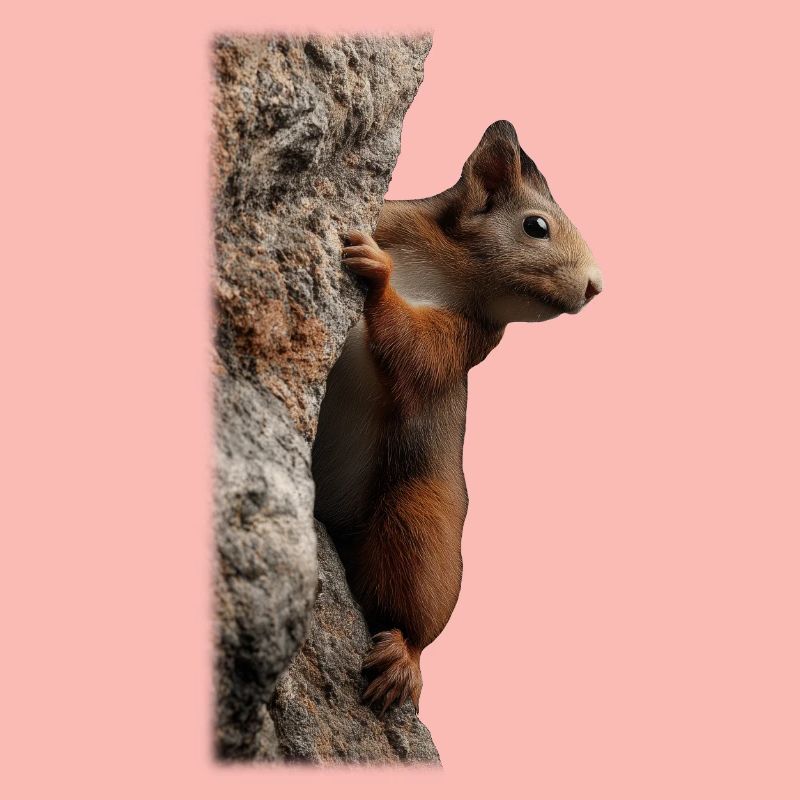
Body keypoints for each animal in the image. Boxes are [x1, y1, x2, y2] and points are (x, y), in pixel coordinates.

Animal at [312, 120, 602, 715]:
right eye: (536, 226)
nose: (595, 285)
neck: (452, 265)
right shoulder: (397, 219)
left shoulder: (470, 338)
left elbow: (418, 354)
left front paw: (378, 276)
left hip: (423, 517)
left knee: (414, 602)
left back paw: (403, 657)